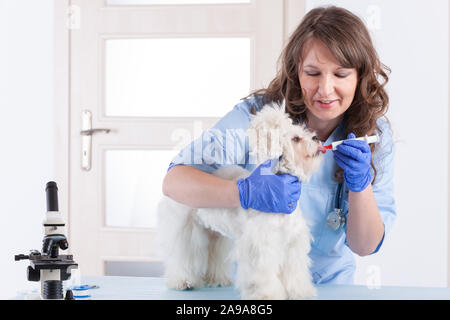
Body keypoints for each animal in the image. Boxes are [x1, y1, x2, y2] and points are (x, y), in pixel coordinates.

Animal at [156, 100, 322, 300]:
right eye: (296, 139)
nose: (316, 138)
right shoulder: (261, 246)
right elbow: (263, 275)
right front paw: (266, 294)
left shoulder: (293, 244)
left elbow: (294, 273)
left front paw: (299, 291)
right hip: (186, 230)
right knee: (182, 256)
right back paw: (182, 281)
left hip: (216, 235)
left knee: (214, 255)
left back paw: (217, 279)